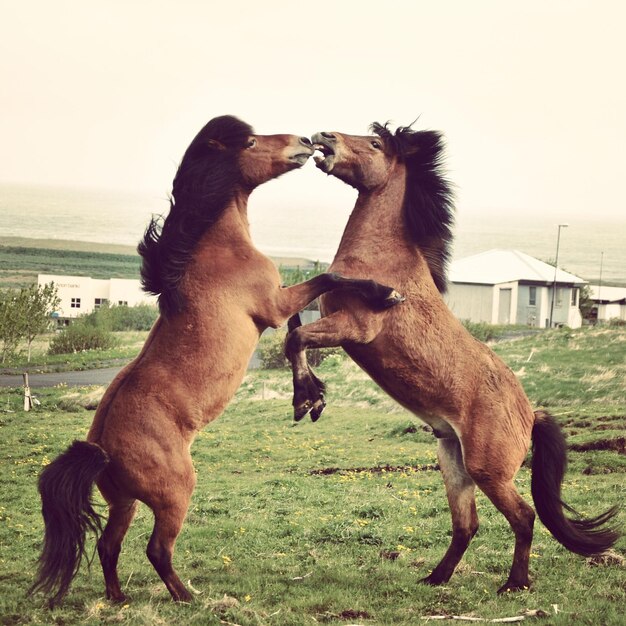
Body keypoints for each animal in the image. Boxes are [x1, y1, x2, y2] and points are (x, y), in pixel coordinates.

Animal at [28, 114, 400, 604]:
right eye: (250, 142)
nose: (305, 141)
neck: (211, 250)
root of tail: (103, 451)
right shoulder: (273, 304)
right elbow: (327, 281)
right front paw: (385, 292)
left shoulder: (278, 305)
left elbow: (298, 328)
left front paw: (309, 397)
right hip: (175, 494)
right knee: (156, 549)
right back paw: (187, 598)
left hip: (123, 503)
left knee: (110, 546)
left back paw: (119, 598)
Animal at [284, 120, 620, 588]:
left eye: (375, 143)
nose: (324, 138)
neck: (384, 260)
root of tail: (530, 416)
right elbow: (293, 325)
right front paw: (313, 396)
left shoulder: (354, 328)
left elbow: (296, 337)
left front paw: (307, 400)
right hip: (453, 462)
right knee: (467, 524)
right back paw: (435, 578)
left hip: (487, 469)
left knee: (523, 517)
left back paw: (514, 584)